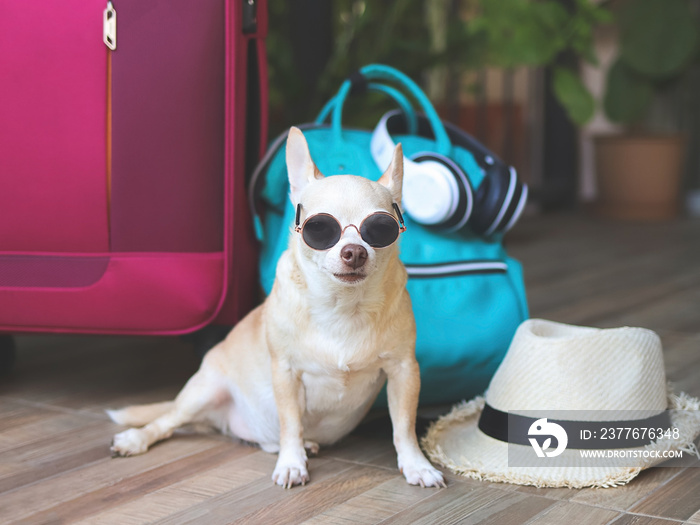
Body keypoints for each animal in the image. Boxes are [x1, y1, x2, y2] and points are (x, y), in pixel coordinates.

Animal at [110, 126, 446, 488]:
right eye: (319, 228)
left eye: (381, 229)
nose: (354, 251)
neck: (343, 305)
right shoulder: (286, 373)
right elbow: (291, 423)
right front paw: (291, 463)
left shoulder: (404, 371)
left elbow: (404, 426)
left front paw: (416, 465)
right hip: (201, 393)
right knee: (166, 422)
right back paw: (135, 439)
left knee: (263, 439)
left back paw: (303, 445)